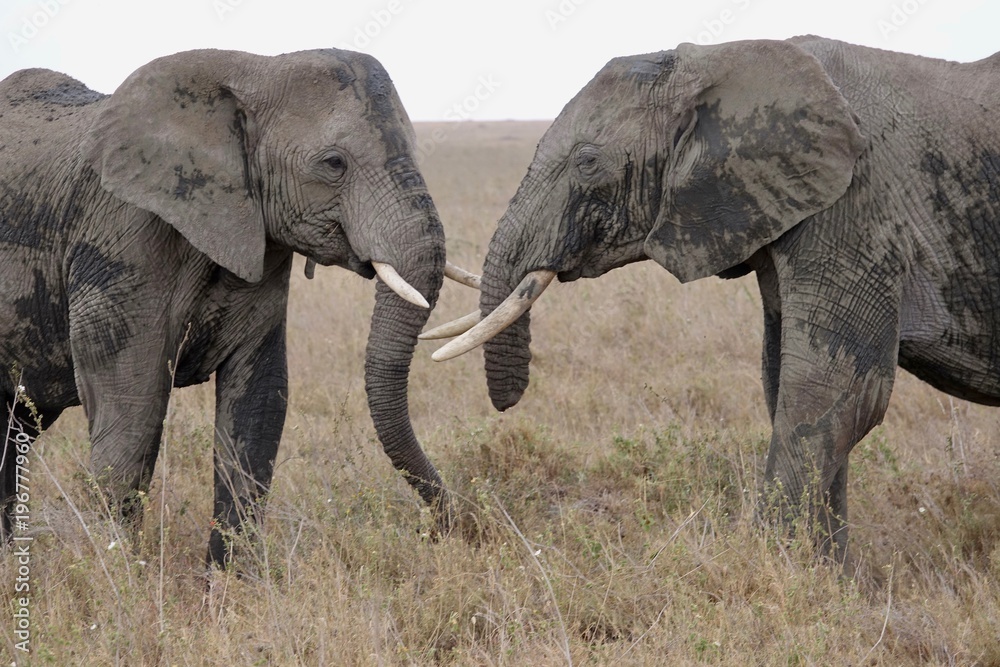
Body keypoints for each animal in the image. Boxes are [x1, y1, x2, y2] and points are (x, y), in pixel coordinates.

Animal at [0, 47, 456, 566]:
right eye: (334, 163)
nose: (440, 531)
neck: (257, 70)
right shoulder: (122, 236)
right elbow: (133, 406)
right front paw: (120, 572)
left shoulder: (261, 237)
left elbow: (259, 403)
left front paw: (232, 582)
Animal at [426, 36, 1000, 562]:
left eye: (587, 162)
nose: (507, 406)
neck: (718, 60)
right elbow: (785, 383)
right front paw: (830, 578)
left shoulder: (859, 212)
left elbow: (832, 390)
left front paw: (785, 573)